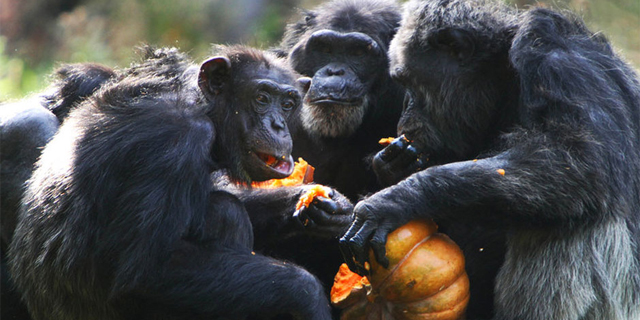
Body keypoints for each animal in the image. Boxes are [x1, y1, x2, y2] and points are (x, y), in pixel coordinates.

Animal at [8, 45, 336, 320]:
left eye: (288, 103)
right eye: (262, 98)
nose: (278, 125)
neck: (203, 107)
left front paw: (320, 206)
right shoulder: (174, 141)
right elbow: (149, 272)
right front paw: (307, 294)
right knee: (226, 212)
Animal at [342, 0, 636, 320]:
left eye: (408, 80)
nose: (405, 112)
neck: (502, 77)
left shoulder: (557, 57)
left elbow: (580, 156)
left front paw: (396, 199)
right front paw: (392, 166)